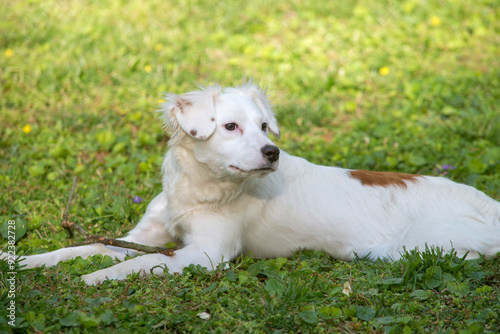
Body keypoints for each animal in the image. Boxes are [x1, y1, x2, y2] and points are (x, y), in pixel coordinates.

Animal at [4, 80, 500, 284]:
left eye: (264, 127)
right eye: (230, 127)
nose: (272, 152)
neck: (201, 189)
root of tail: (490, 205)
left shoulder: (207, 254)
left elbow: (134, 265)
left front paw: (95, 278)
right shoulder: (143, 236)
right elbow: (79, 248)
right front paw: (23, 260)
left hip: (408, 248)